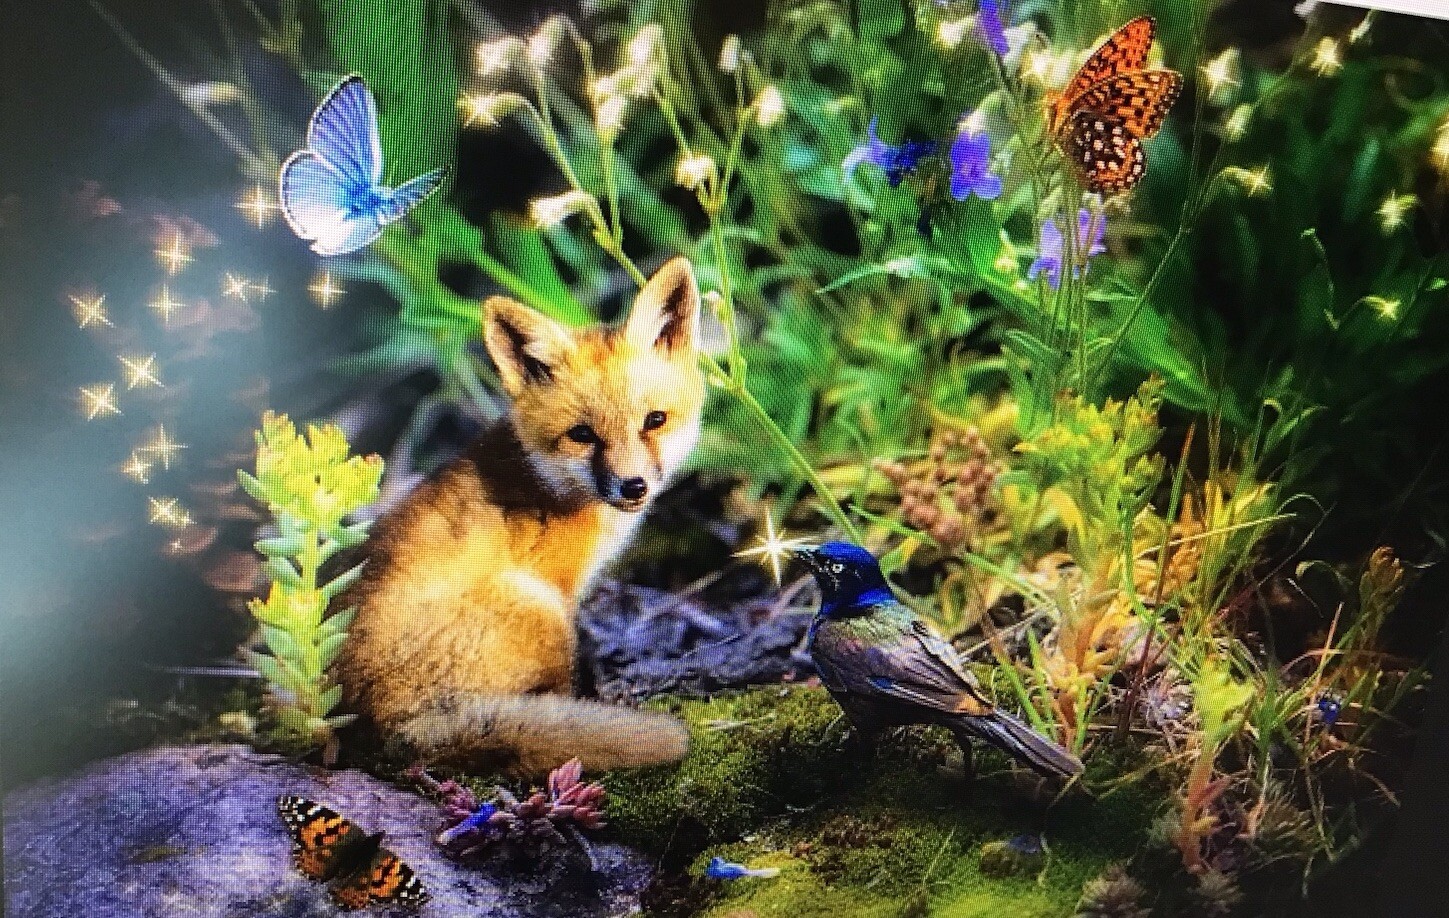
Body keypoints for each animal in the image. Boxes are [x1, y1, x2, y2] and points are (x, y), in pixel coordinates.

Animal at [333, 257, 706, 774]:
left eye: (655, 421)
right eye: (582, 435)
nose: (634, 487)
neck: (548, 480)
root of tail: (390, 727)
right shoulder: (560, 586)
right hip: (537, 606)